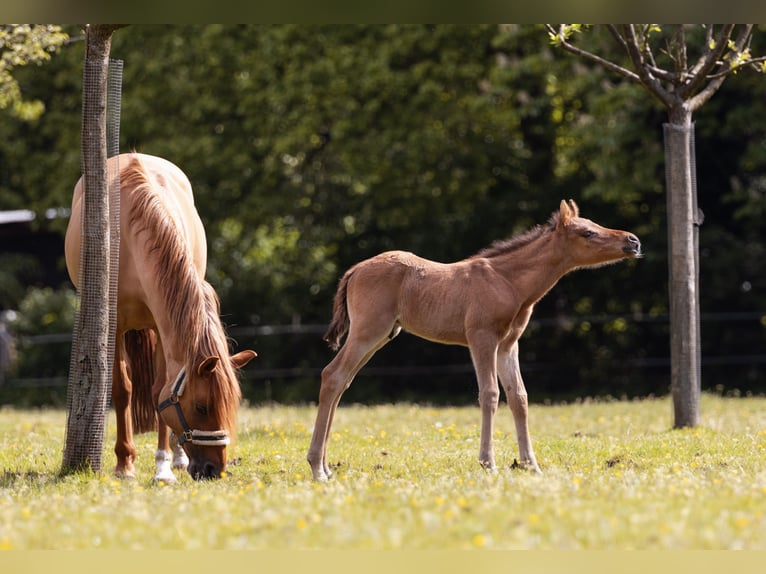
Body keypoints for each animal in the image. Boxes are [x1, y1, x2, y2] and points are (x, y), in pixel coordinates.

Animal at [65, 152, 256, 481]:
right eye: (202, 407)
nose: (214, 470)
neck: (130, 239)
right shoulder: (114, 326)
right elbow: (123, 390)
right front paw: (125, 464)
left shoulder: (163, 323)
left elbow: (159, 391)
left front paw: (163, 466)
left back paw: (178, 458)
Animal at [307, 200, 641, 480]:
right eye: (588, 232)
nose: (633, 241)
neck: (509, 281)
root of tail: (354, 270)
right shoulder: (482, 337)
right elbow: (490, 394)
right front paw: (488, 463)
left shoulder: (508, 344)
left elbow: (519, 396)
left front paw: (531, 464)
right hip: (368, 331)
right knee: (333, 375)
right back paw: (317, 469)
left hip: (380, 335)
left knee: (342, 381)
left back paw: (326, 466)